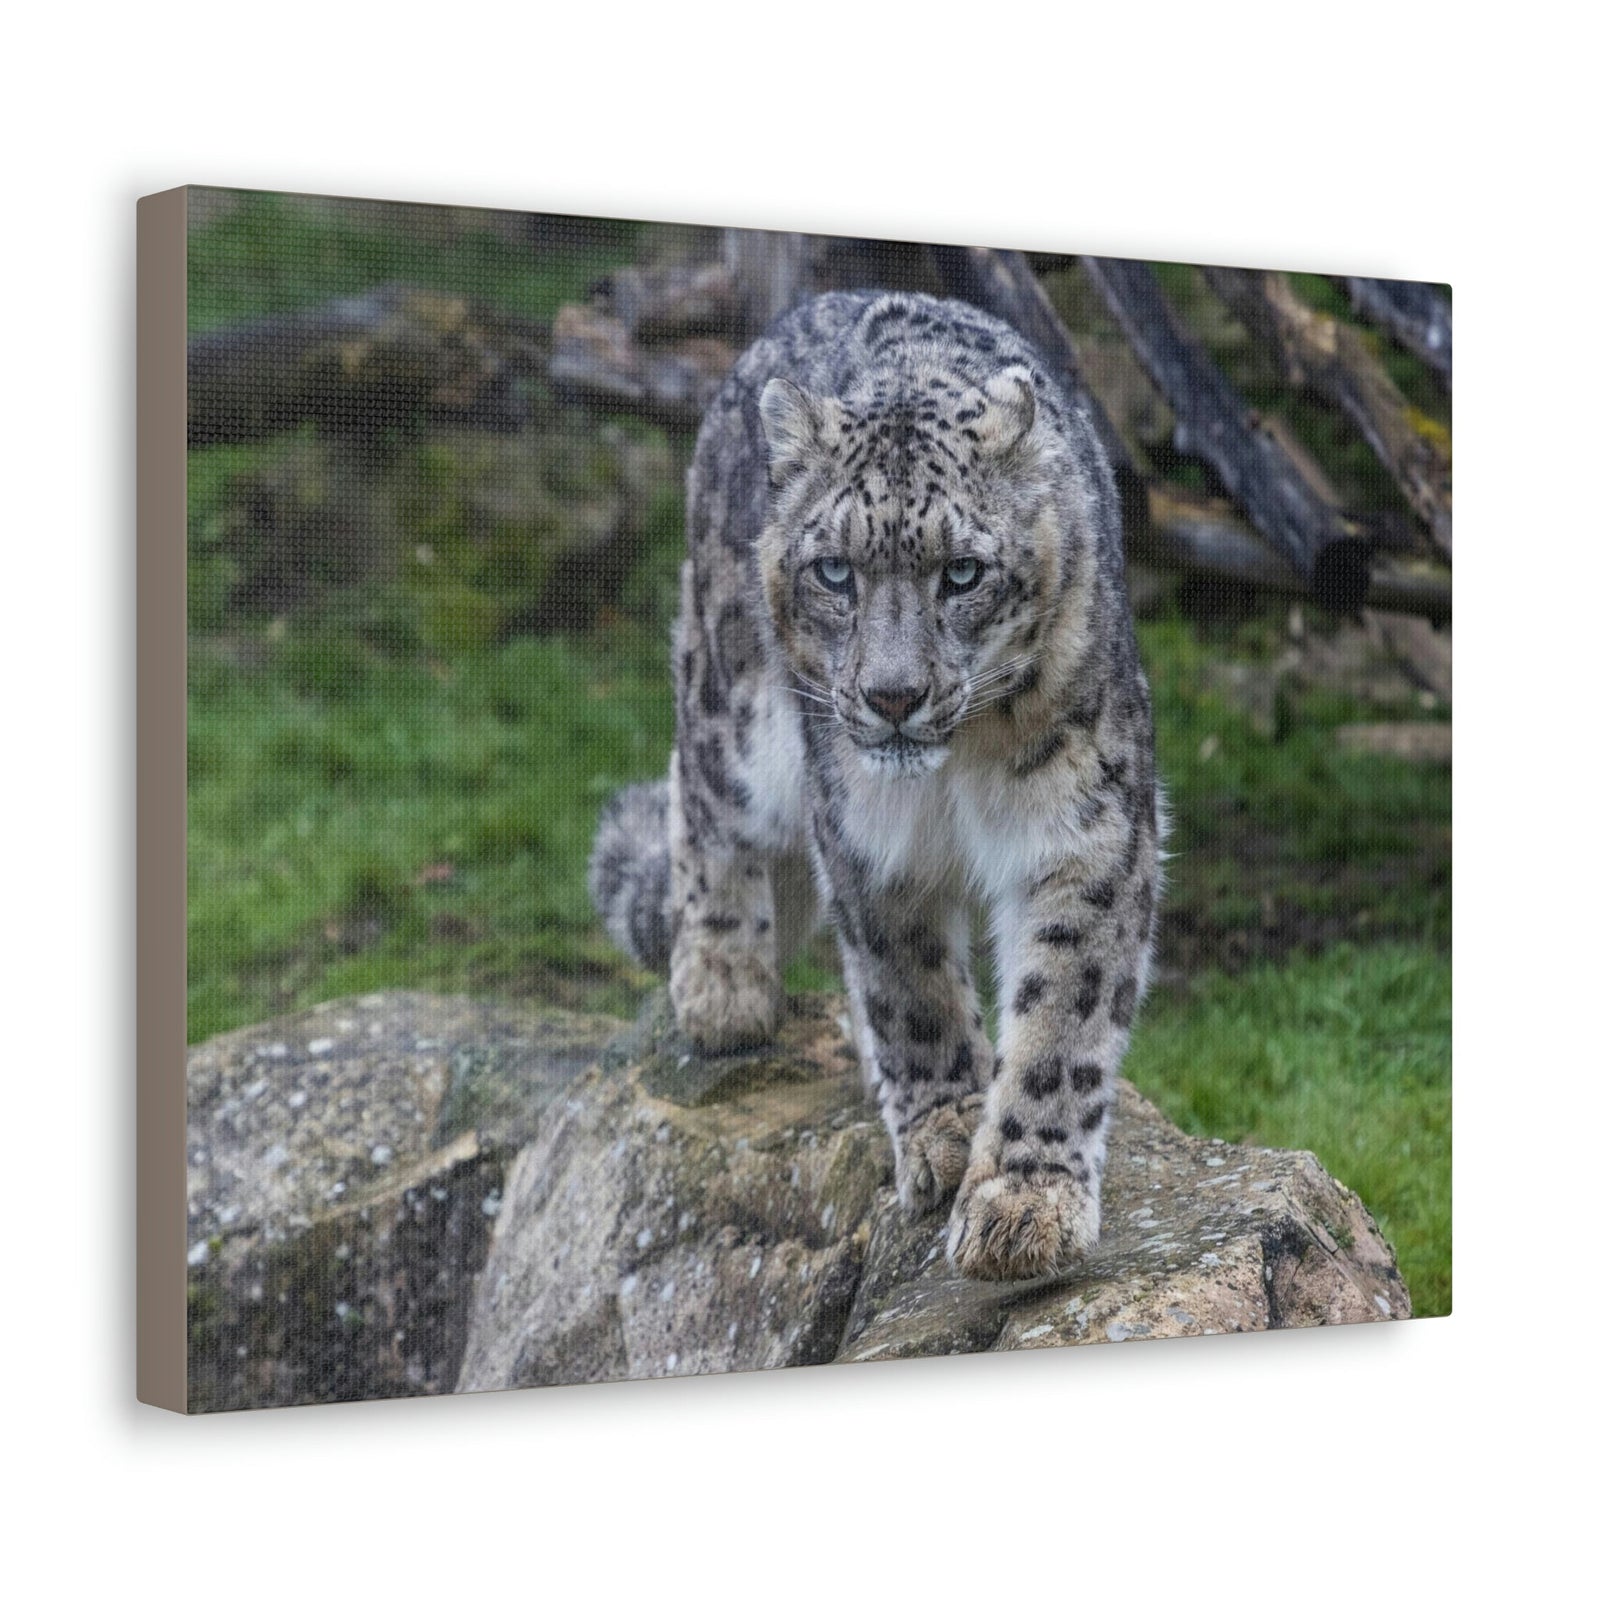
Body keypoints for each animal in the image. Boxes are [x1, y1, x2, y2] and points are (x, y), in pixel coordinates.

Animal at [589, 289, 1161, 1282]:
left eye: (962, 572)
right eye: (836, 570)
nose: (893, 696)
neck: (956, 773)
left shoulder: (1087, 832)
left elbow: (1061, 1017)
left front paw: (1024, 1200)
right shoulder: (863, 835)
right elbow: (909, 987)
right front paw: (946, 1130)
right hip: (735, 710)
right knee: (698, 793)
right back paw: (722, 983)